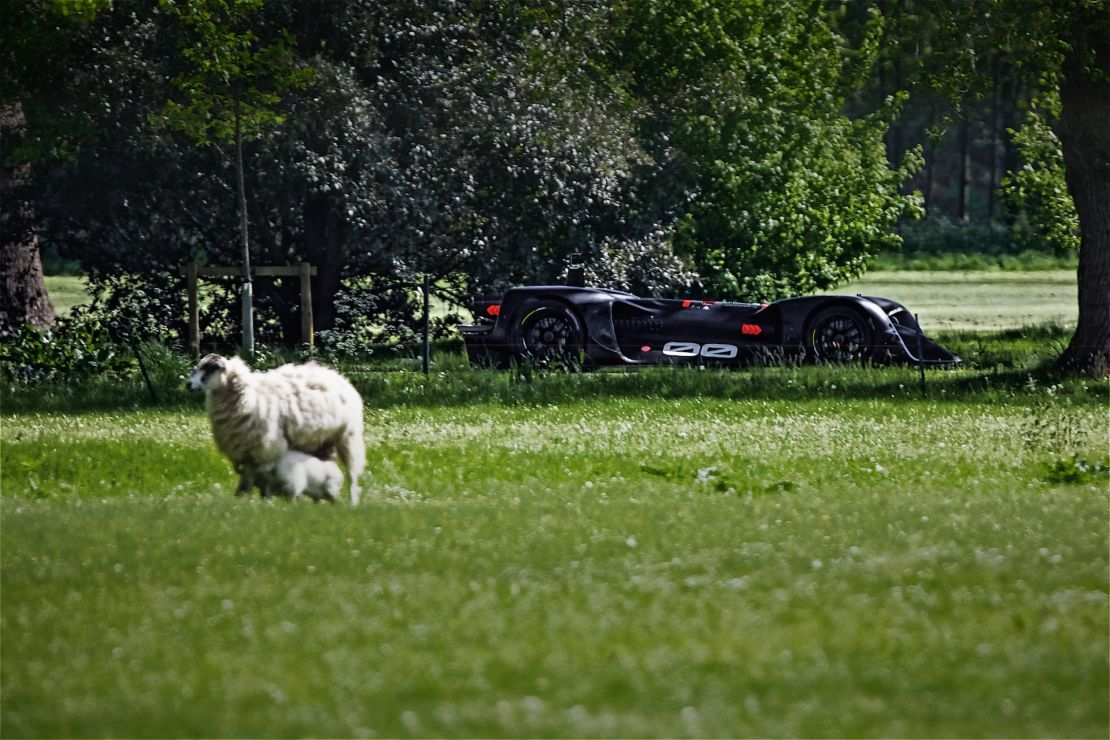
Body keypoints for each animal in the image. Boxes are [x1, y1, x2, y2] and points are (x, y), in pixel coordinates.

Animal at [188, 352, 366, 503]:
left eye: (210, 368)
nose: (188, 385)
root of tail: (338, 376)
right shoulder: (247, 453)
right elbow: (246, 481)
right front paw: (240, 500)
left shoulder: (265, 451)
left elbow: (259, 479)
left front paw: (262, 500)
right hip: (321, 440)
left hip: (347, 436)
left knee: (352, 475)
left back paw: (352, 502)